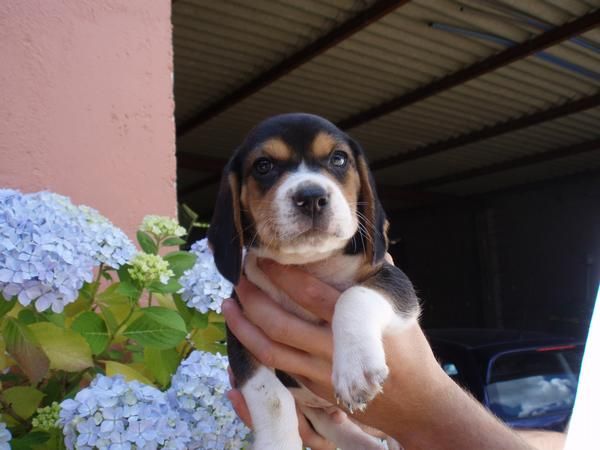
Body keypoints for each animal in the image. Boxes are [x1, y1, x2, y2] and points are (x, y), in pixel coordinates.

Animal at [209, 113, 420, 450]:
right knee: (333, 426)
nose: (310, 197)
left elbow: (354, 296)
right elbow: (271, 396)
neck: (309, 263)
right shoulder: (241, 333)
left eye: (338, 159)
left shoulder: (396, 283)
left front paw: (356, 365)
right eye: (264, 166)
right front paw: (277, 444)